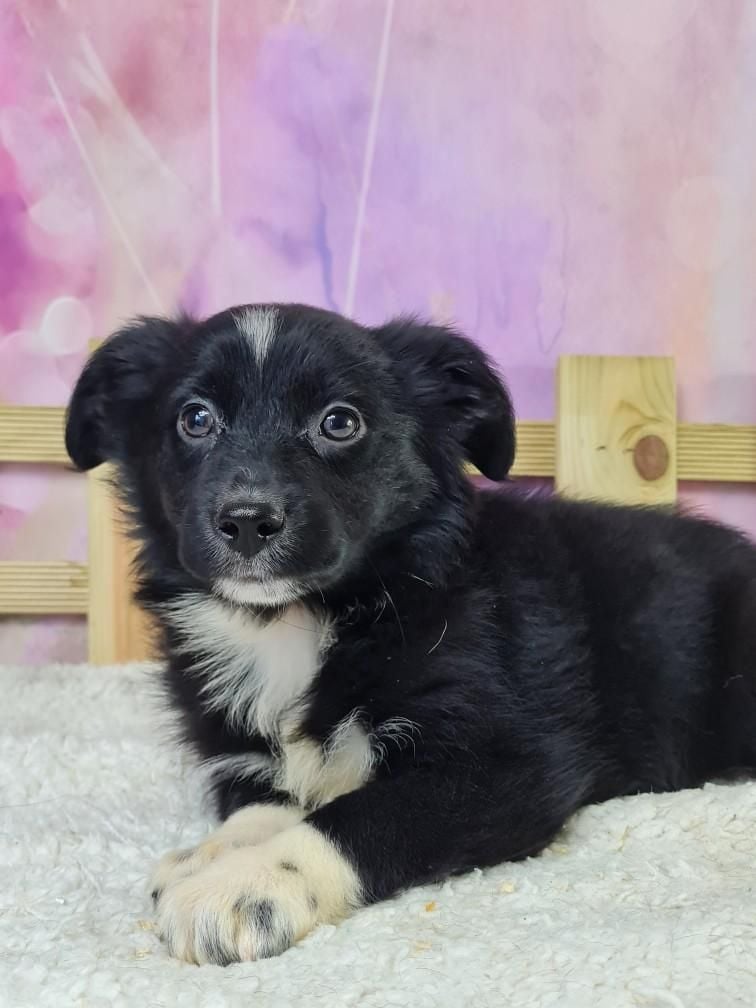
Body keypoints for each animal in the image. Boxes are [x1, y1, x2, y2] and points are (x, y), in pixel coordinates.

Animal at [65, 303, 756, 965]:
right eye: (196, 418)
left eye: (339, 423)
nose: (247, 520)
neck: (301, 620)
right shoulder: (244, 755)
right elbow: (265, 804)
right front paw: (215, 853)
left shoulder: (519, 766)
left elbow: (358, 816)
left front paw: (245, 886)